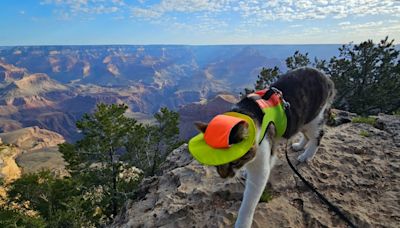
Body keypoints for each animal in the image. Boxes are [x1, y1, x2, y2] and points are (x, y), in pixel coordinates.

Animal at [194, 67, 334, 227]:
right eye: (215, 163)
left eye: (234, 162)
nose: (224, 177)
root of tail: (327, 78)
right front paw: (244, 171)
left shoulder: (261, 164)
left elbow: (249, 201)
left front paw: (242, 223)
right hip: (301, 119)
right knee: (304, 133)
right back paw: (299, 146)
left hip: (314, 117)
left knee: (318, 135)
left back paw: (306, 155)